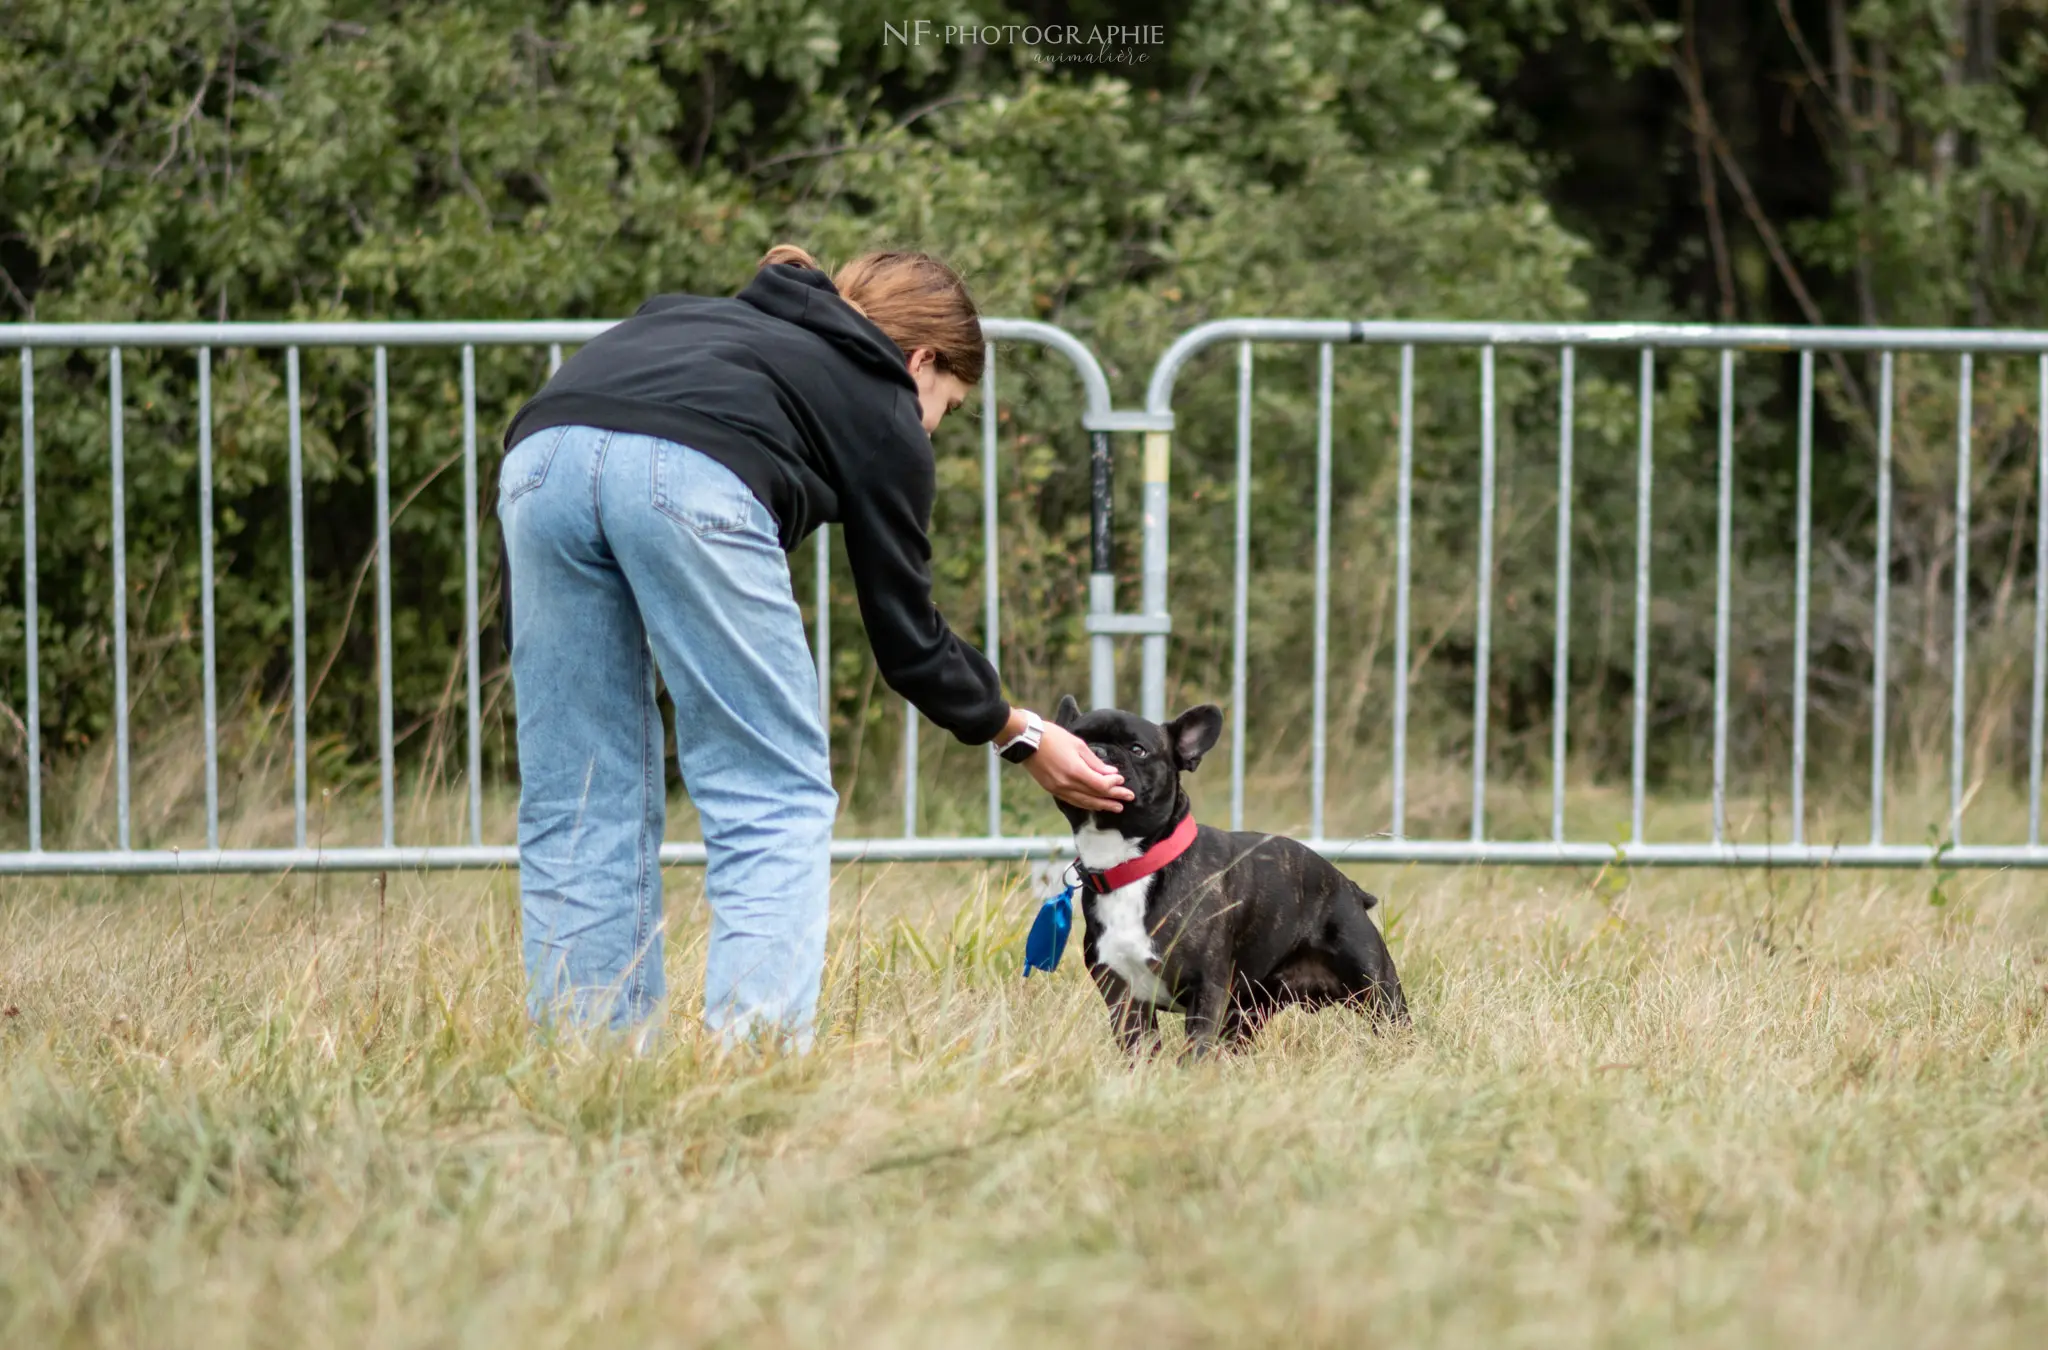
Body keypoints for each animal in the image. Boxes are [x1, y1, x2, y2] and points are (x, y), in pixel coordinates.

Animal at [1056, 696, 1409, 1057]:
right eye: (1074, 738)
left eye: (1137, 749)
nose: (1095, 750)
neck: (1132, 863)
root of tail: (1348, 886)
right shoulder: (1123, 995)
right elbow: (1138, 1048)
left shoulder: (1206, 989)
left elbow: (1195, 1048)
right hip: (1249, 1008)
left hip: (1376, 987)